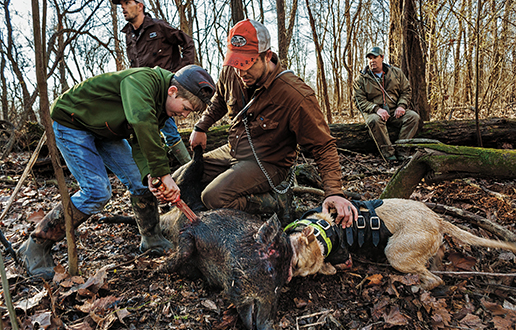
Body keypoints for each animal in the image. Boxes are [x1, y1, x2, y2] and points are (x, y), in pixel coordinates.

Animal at [286, 199, 516, 288]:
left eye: (296, 265)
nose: (286, 278)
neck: (323, 232)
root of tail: (437, 219)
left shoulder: (343, 256)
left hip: (395, 254)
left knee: (435, 280)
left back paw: (418, 284)